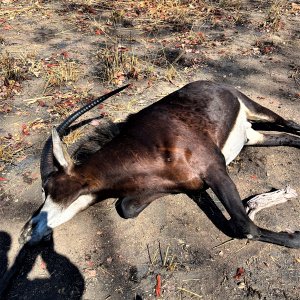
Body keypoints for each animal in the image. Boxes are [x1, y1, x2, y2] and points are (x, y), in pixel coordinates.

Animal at [19, 81, 300, 248]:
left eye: (48, 187)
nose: (25, 234)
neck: (144, 147)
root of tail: (213, 83)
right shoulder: (183, 185)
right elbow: (125, 208)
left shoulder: (215, 170)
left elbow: (246, 227)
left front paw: (295, 238)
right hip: (252, 137)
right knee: (288, 137)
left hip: (256, 109)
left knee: (290, 123)